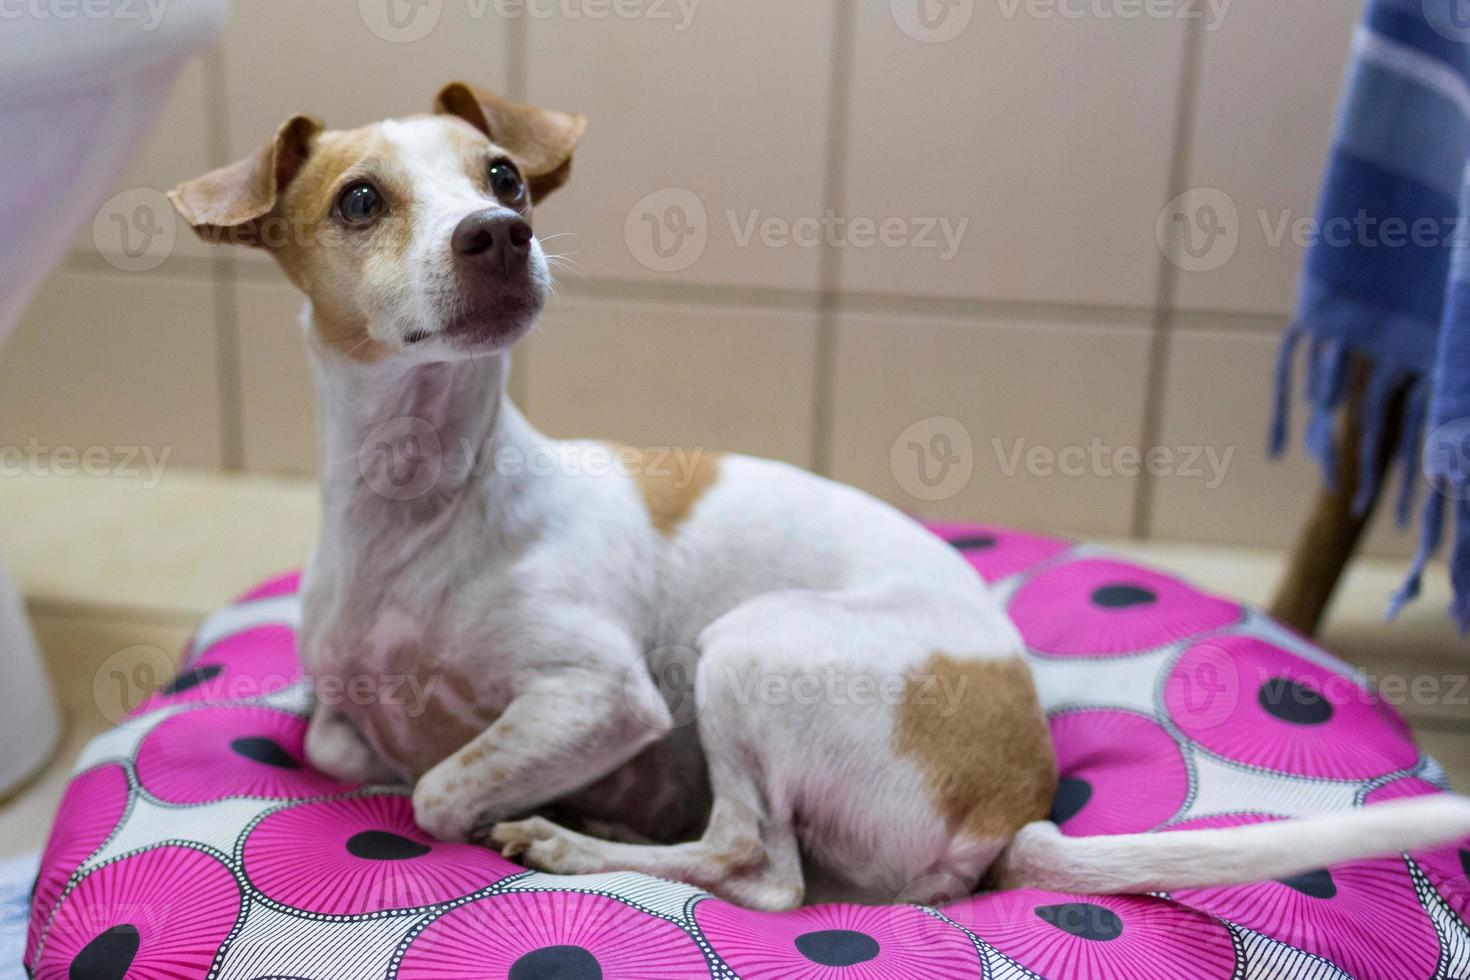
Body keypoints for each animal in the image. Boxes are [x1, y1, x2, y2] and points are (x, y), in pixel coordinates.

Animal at [166, 84, 1470, 910]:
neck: (426, 502)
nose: (500, 232)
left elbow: (437, 787)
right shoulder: (345, 711)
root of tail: (1017, 809)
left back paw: (578, 838)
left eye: (503, 178)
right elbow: (348, 744)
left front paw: (511, 795)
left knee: (764, 867)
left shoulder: (604, 696)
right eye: (359, 200)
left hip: (747, 650)